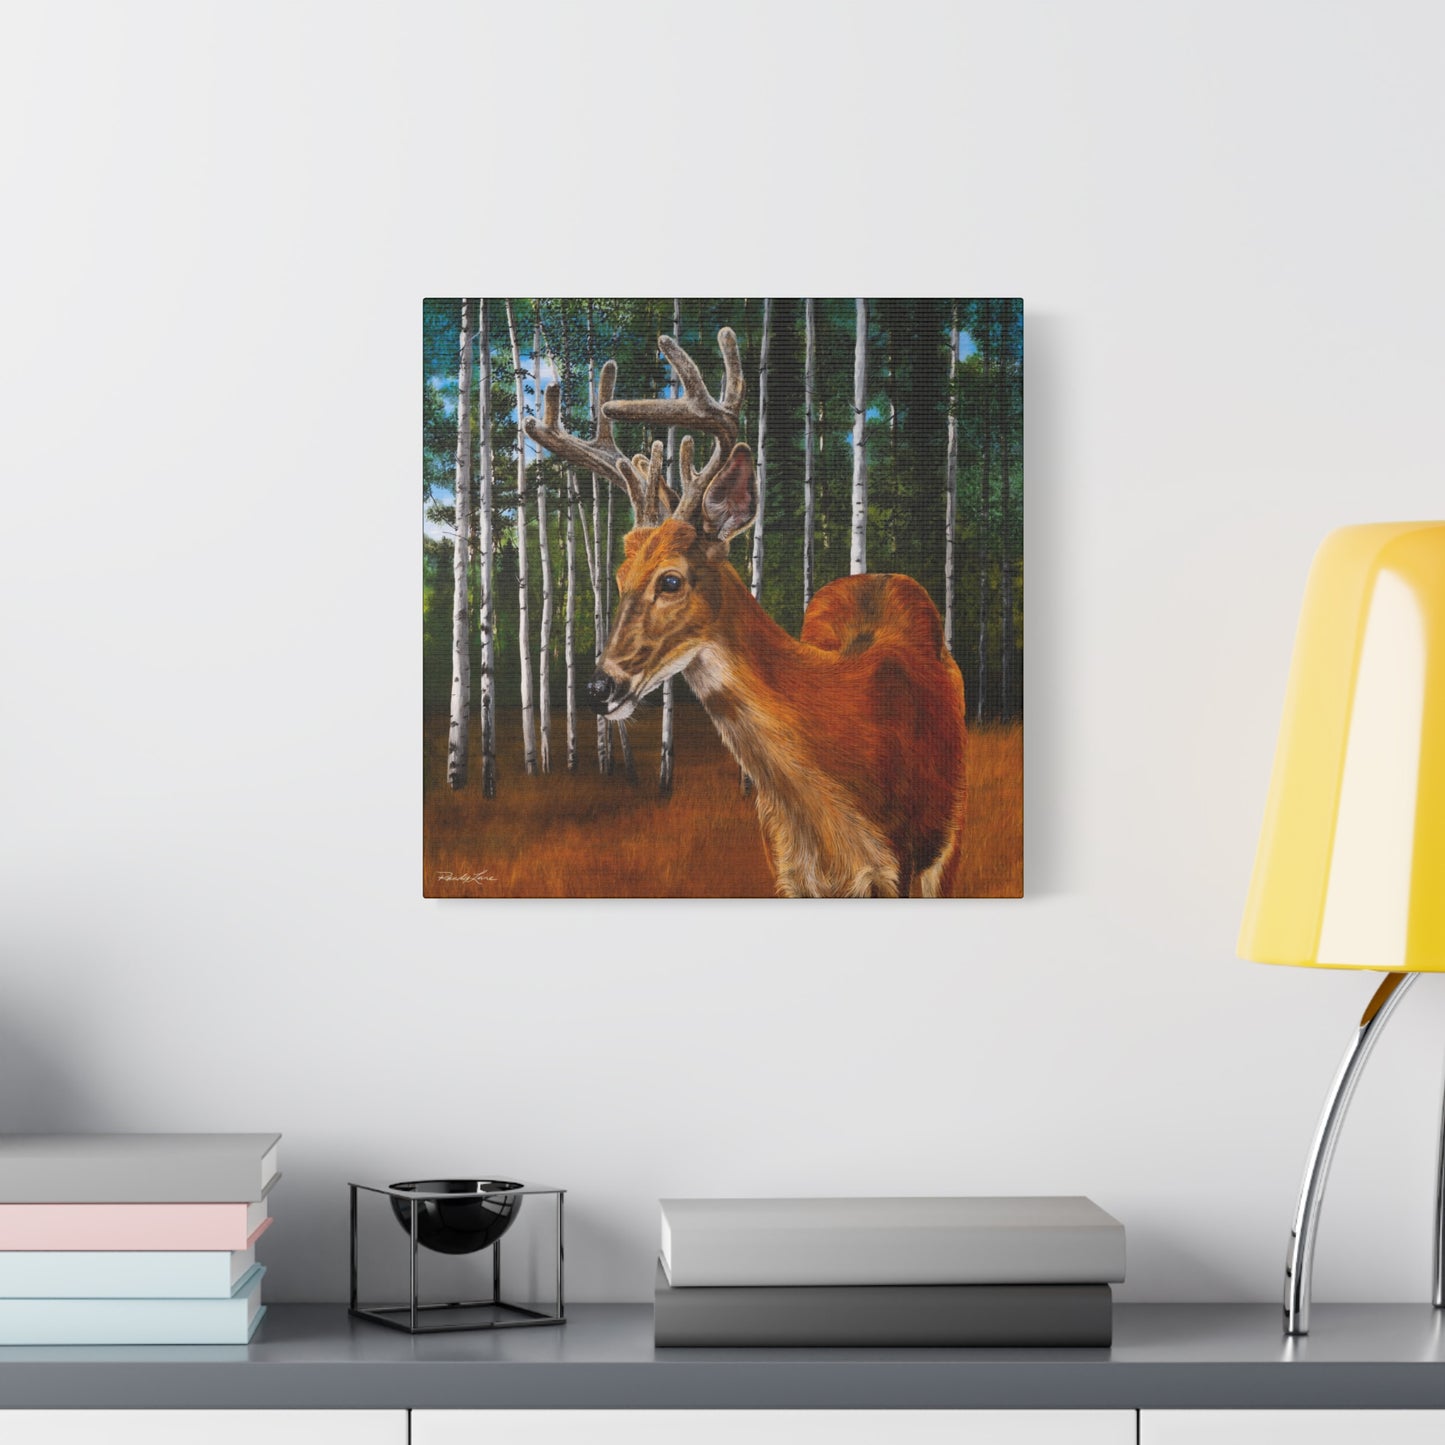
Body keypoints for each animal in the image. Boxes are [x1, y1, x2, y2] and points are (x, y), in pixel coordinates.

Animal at [524, 327, 967, 898]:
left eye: (671, 580)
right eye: (619, 579)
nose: (599, 687)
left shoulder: (902, 867)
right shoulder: (784, 868)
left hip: (948, 841)